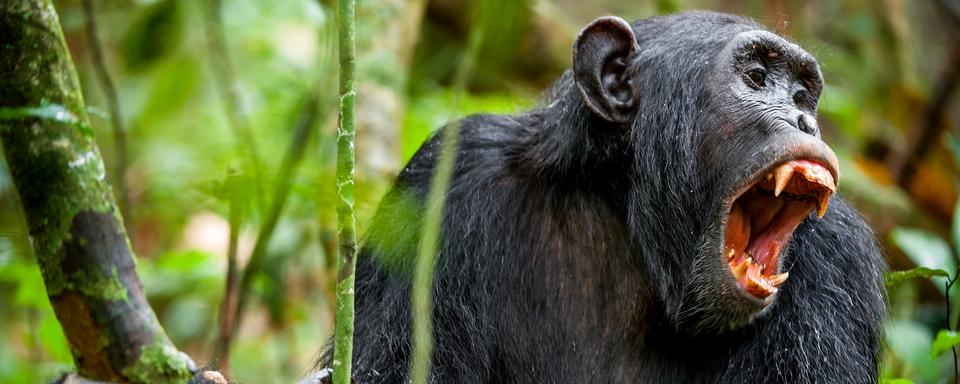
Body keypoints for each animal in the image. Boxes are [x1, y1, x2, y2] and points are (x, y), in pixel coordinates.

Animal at [318, 10, 880, 382]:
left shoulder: (838, 258)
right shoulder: (442, 182)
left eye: (802, 94)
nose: (804, 119)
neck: (623, 215)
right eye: (757, 77)